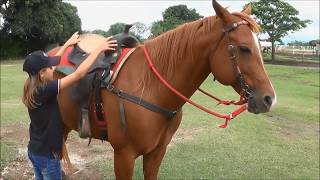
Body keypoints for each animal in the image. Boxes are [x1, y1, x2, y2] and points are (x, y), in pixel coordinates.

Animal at [52, 0, 276, 179]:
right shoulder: (124, 155)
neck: (150, 87)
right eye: (244, 48)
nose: (269, 99)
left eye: (260, 47)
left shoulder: (157, 152)